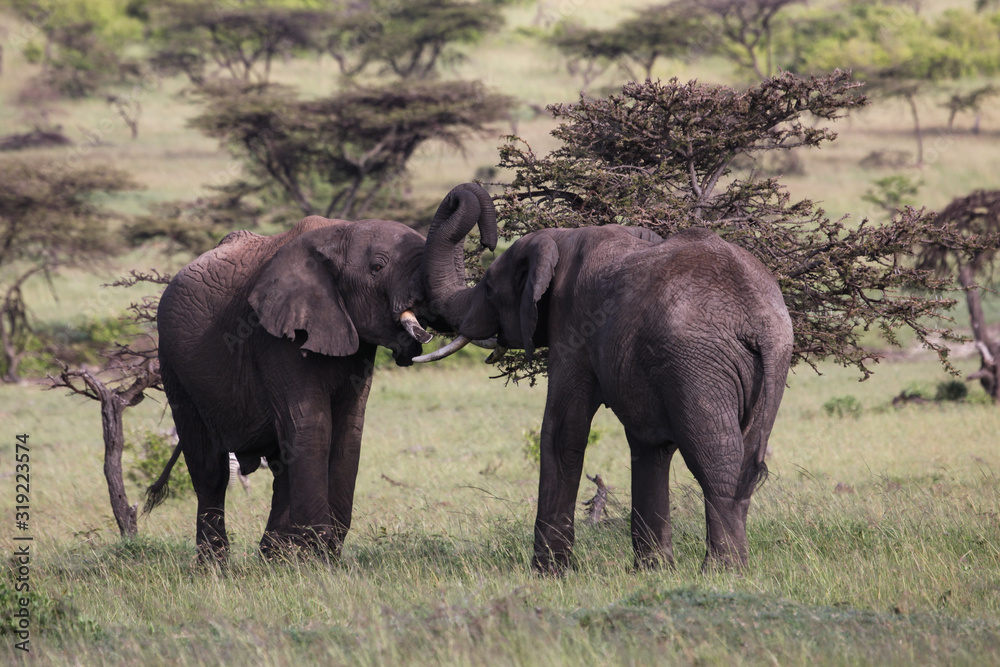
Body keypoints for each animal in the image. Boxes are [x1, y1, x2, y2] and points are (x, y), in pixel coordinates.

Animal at [145, 184, 496, 564]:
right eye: (378, 267)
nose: (490, 242)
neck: (338, 234)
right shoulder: (274, 336)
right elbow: (311, 424)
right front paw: (315, 559)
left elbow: (348, 429)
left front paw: (320, 555)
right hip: (173, 362)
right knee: (210, 468)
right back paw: (215, 567)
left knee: (279, 461)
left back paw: (272, 557)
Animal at [418, 184, 792, 576]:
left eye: (489, 288)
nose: (488, 241)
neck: (561, 239)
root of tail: (756, 320)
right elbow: (648, 446)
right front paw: (653, 571)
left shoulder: (572, 325)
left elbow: (562, 433)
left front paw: (548, 573)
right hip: (767, 363)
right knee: (745, 461)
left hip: (700, 361)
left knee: (716, 459)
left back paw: (721, 572)